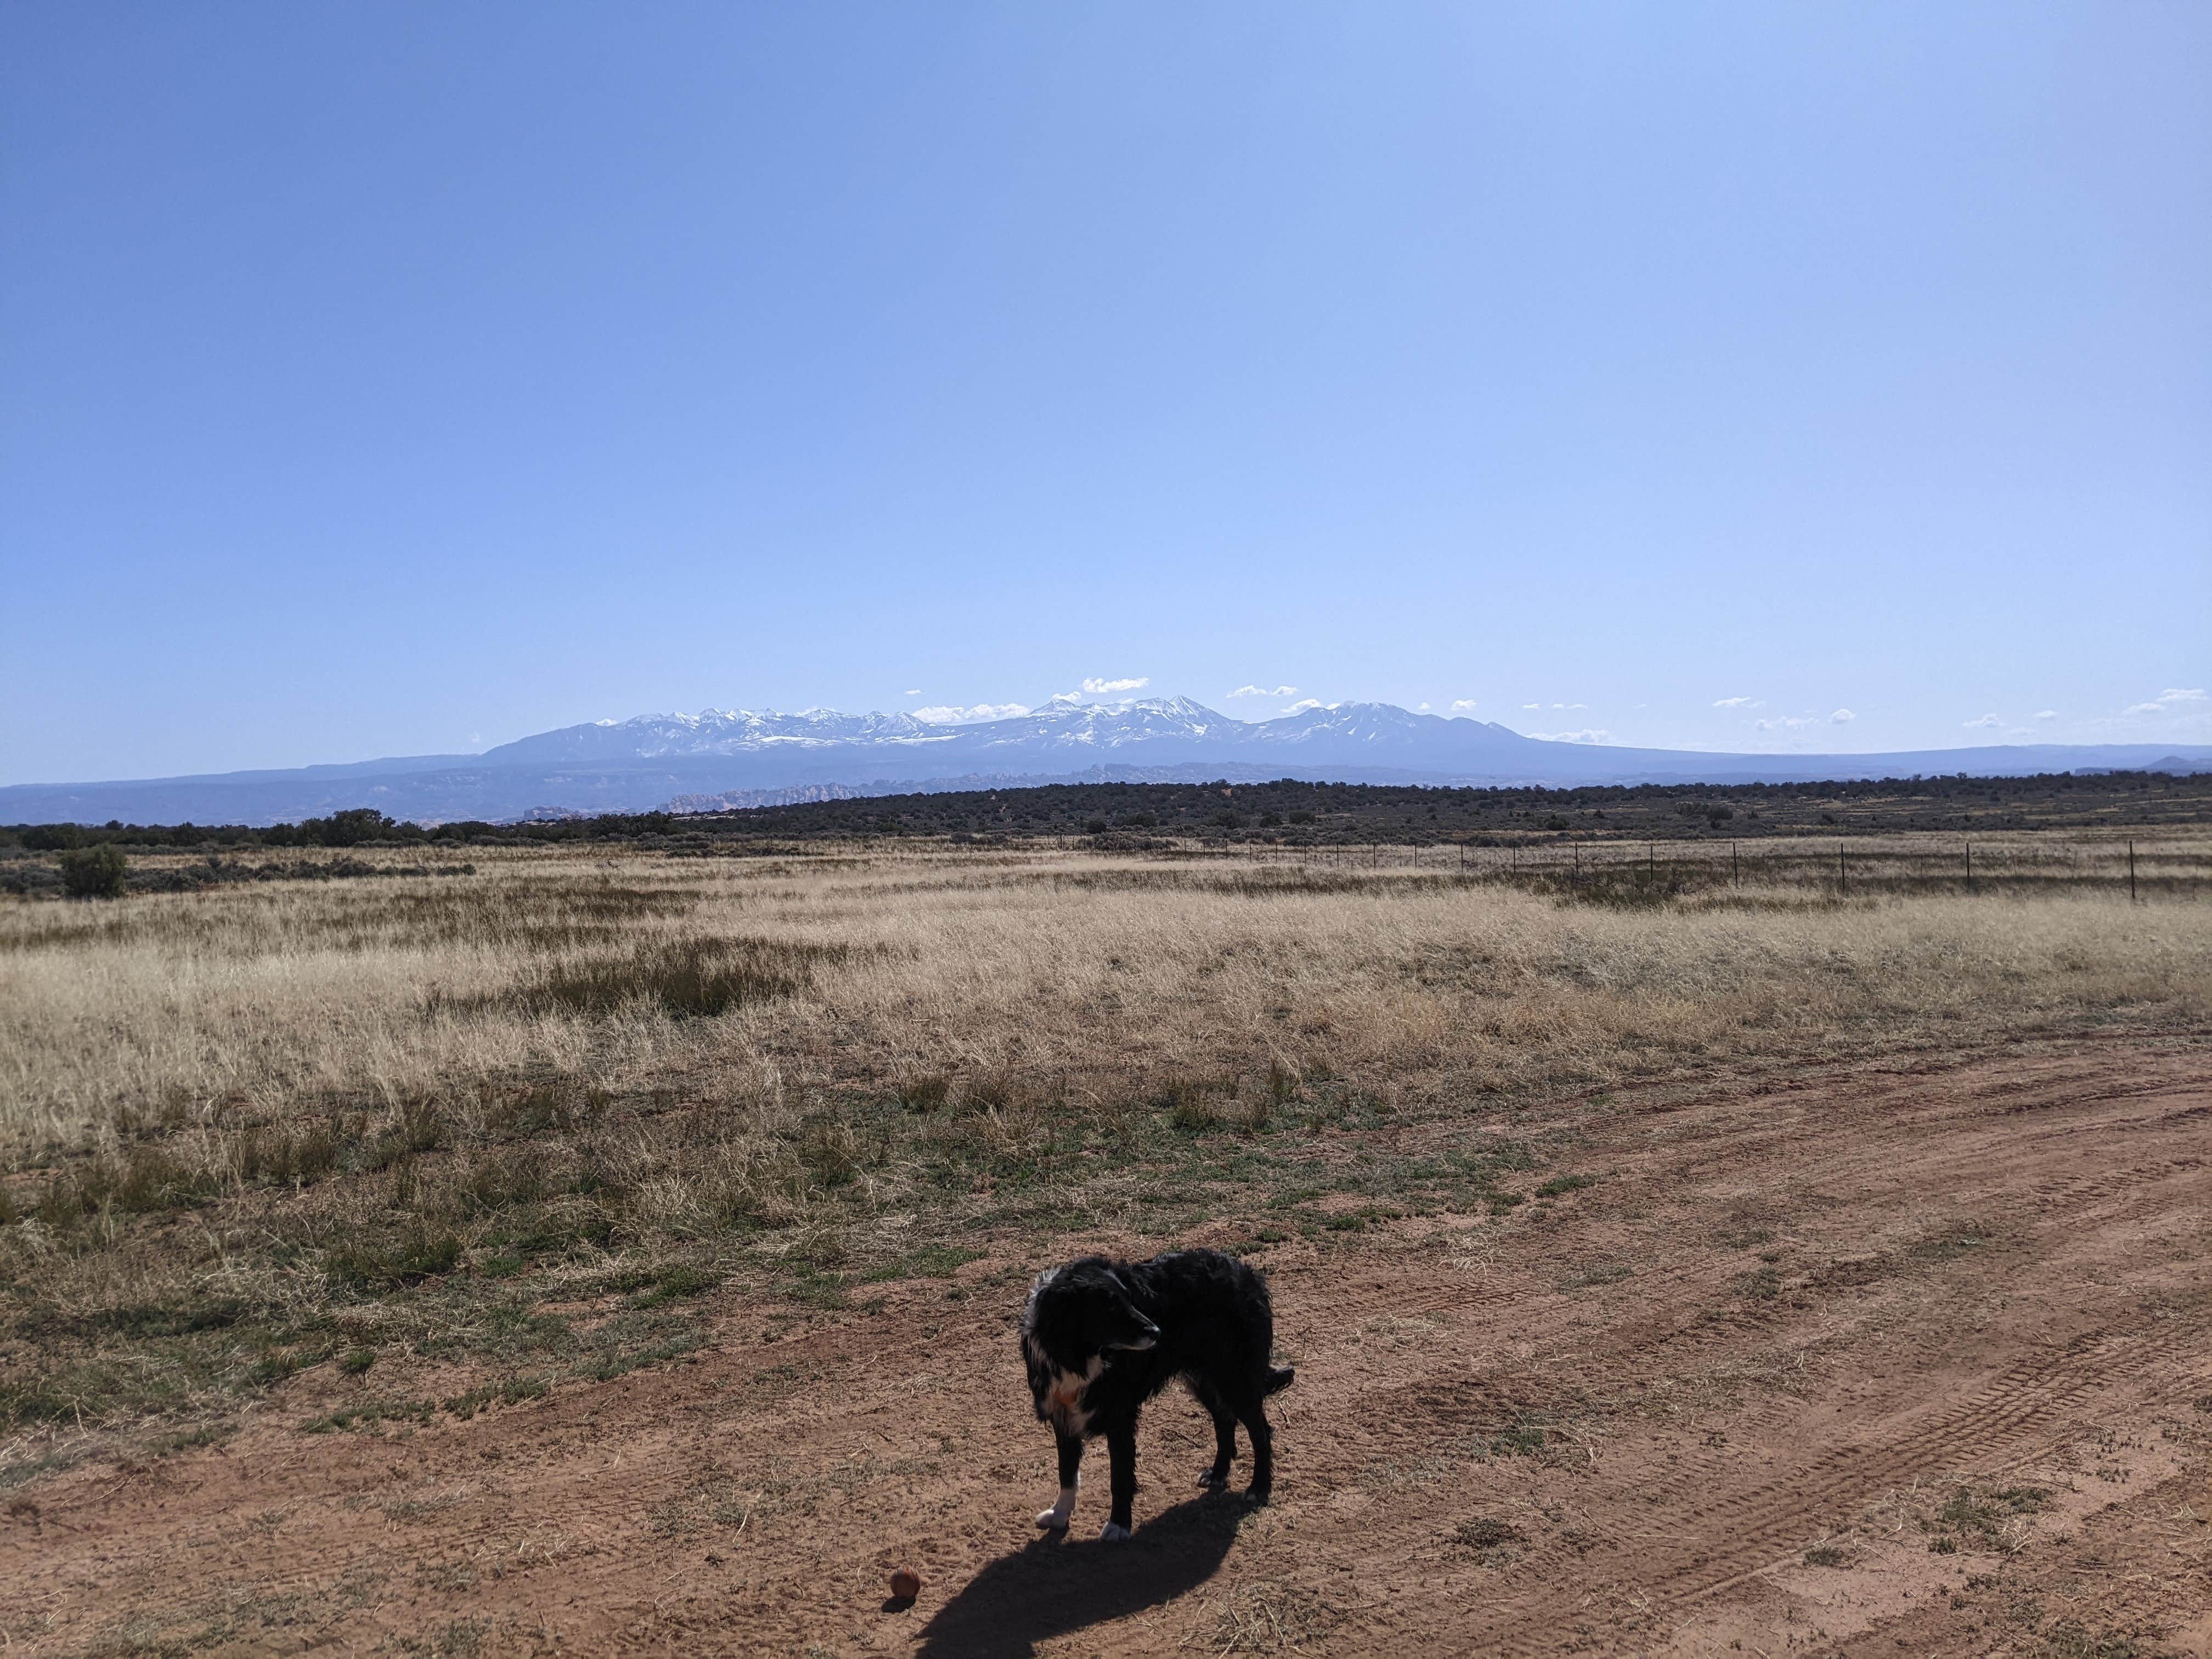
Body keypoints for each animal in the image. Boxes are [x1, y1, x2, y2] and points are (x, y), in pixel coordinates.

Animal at [1022, 1248, 1291, 1548]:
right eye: (1110, 1309)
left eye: (1130, 1300)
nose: (1158, 1332)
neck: (1077, 1357)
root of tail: (1248, 1273)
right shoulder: (1064, 1416)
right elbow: (1066, 1472)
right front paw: (1060, 1515)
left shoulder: (1120, 1417)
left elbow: (1120, 1477)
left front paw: (1119, 1525)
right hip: (1204, 1379)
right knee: (1224, 1421)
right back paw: (1219, 1473)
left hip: (1236, 1379)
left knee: (1261, 1433)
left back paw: (1259, 1487)